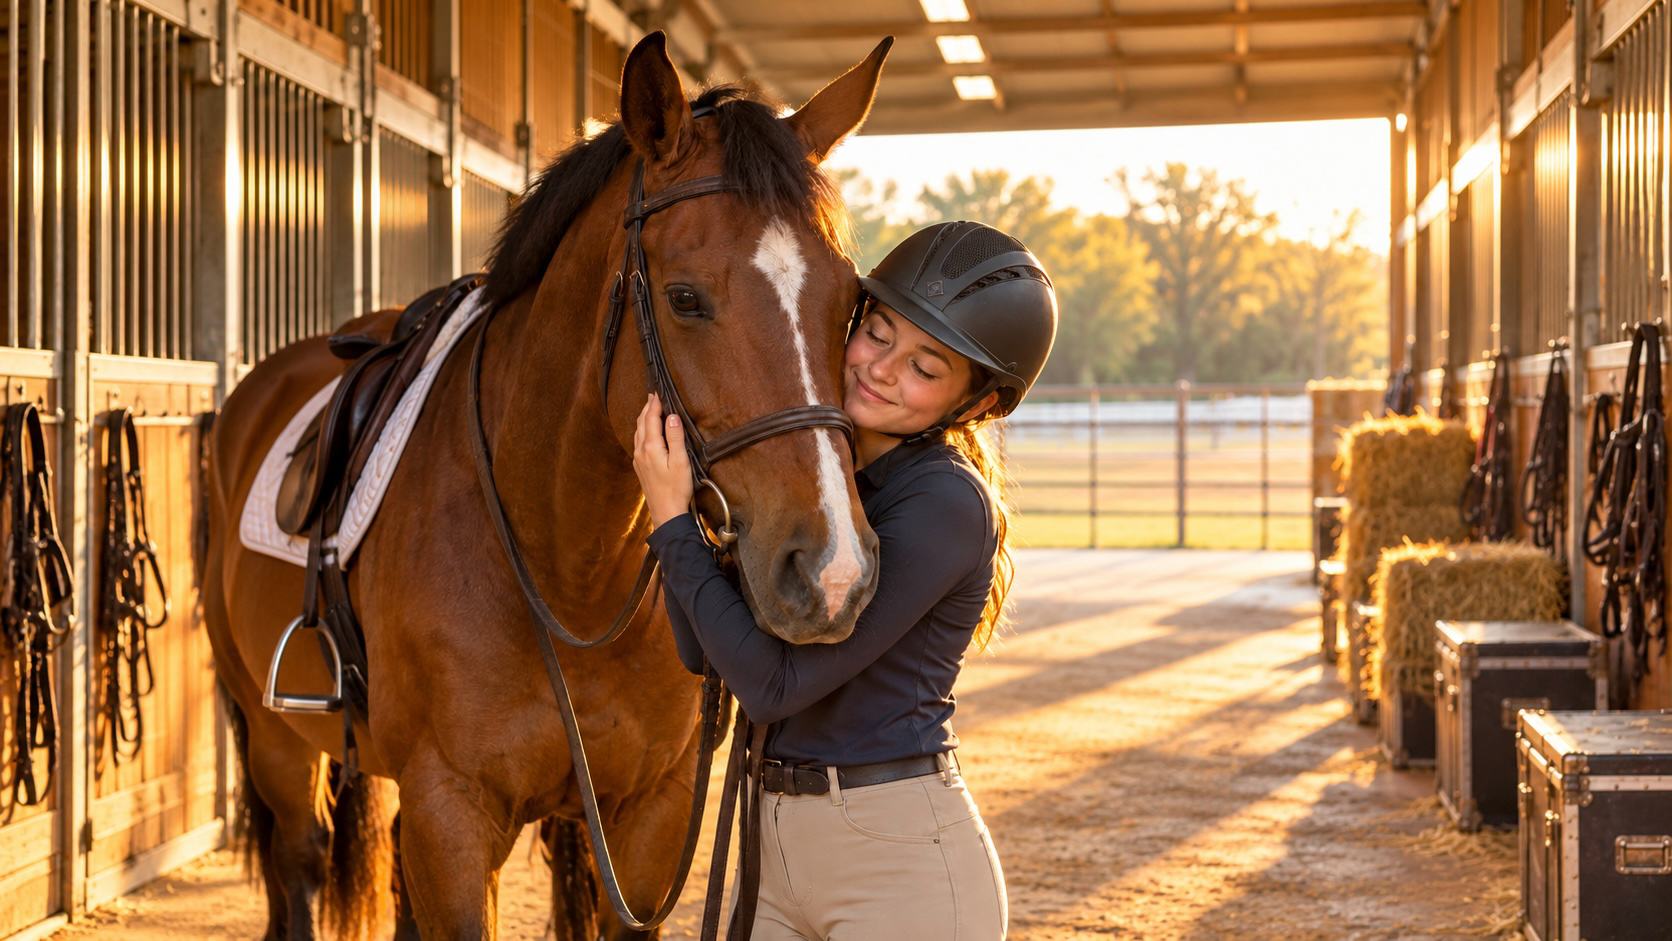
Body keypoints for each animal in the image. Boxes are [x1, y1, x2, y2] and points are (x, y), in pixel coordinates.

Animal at [200, 32, 892, 939]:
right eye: (685, 298)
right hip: (276, 739)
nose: (832, 573)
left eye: (851, 303)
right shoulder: (453, 813)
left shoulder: (649, 816)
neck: (567, 566)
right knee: (298, 865)